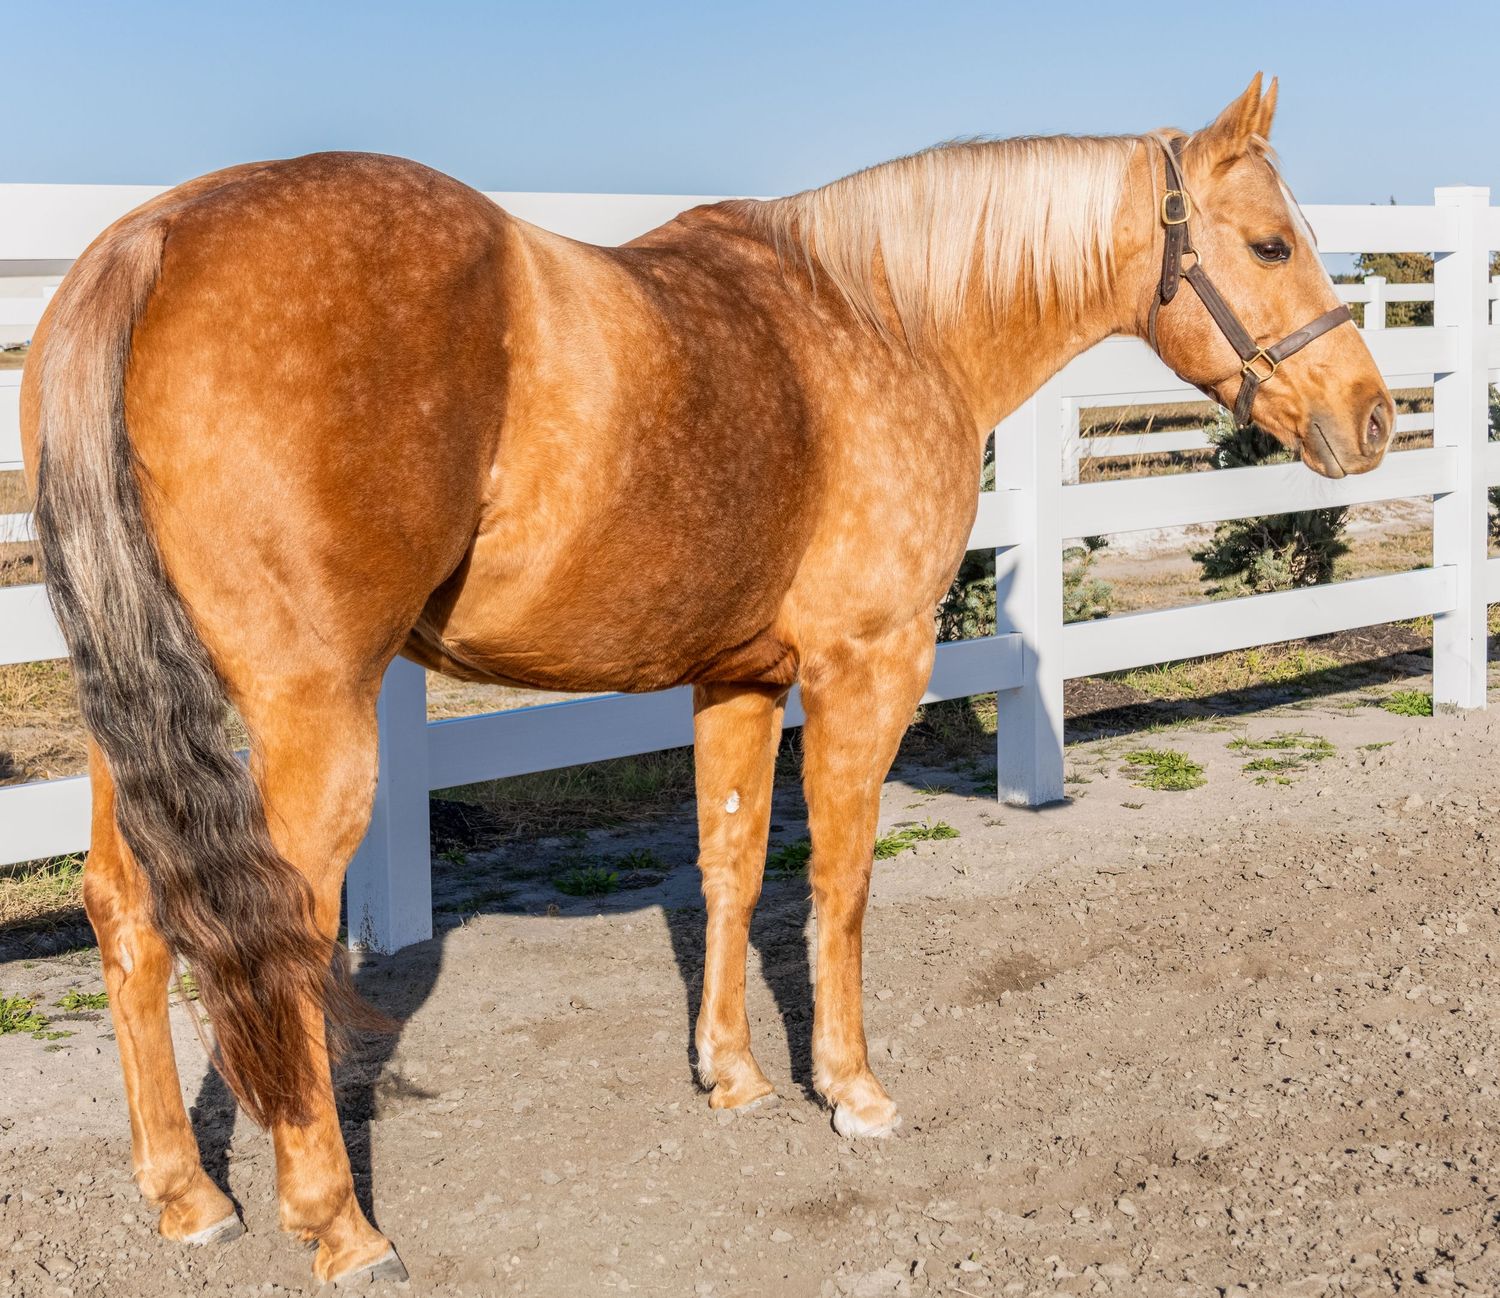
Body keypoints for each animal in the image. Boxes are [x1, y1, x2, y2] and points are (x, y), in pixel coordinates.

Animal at [20, 73, 1392, 1284]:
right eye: (1270, 243)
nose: (1373, 416)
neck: (886, 317)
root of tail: (147, 241)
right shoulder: (867, 663)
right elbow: (839, 879)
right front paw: (852, 1088)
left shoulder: (738, 679)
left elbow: (730, 863)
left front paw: (731, 1073)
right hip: (304, 716)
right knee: (271, 934)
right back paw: (340, 1225)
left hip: (135, 713)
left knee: (128, 912)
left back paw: (188, 1196)